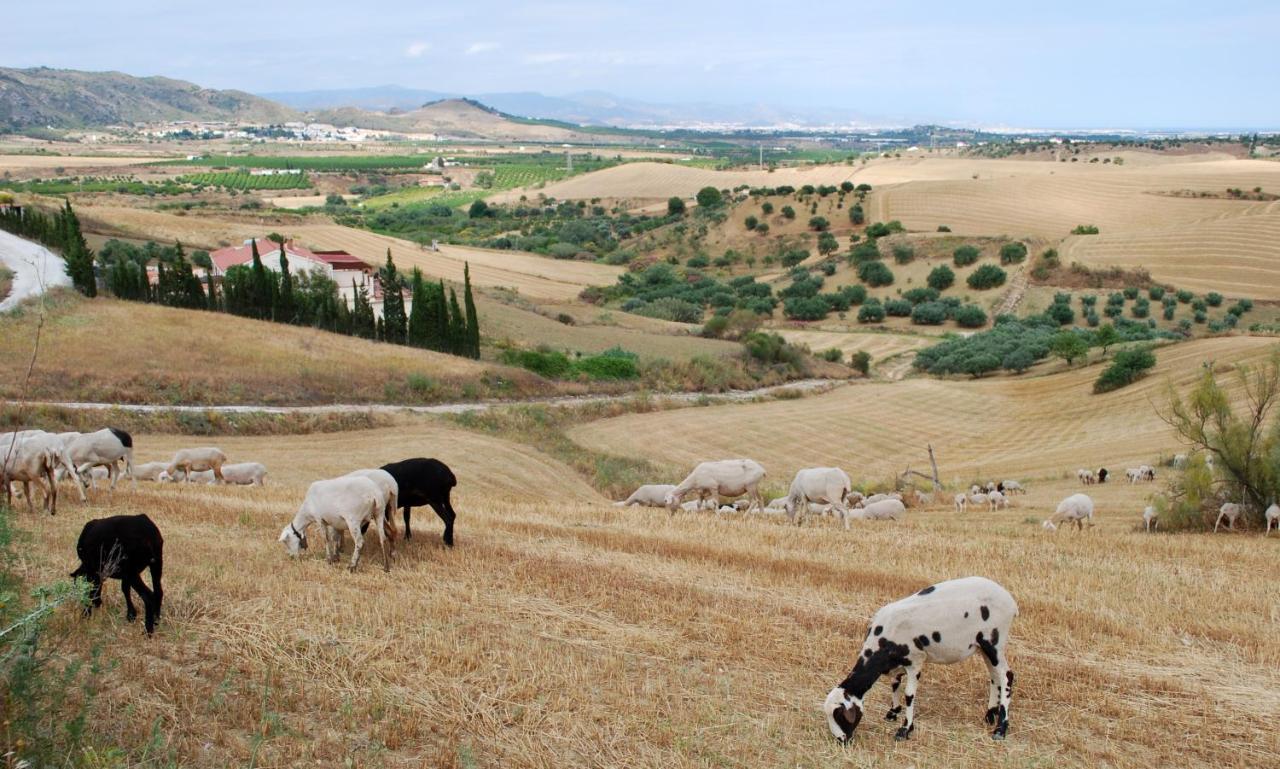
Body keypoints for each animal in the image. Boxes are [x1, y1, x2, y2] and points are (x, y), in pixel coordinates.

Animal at [824, 575, 1024, 742]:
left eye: (840, 716)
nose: (842, 741)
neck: (881, 644)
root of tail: (1011, 602)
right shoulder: (898, 663)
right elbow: (895, 684)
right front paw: (893, 713)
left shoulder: (915, 662)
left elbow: (909, 695)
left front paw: (905, 729)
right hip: (984, 647)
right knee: (994, 676)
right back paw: (990, 715)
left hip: (994, 641)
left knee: (1006, 676)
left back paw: (1000, 729)